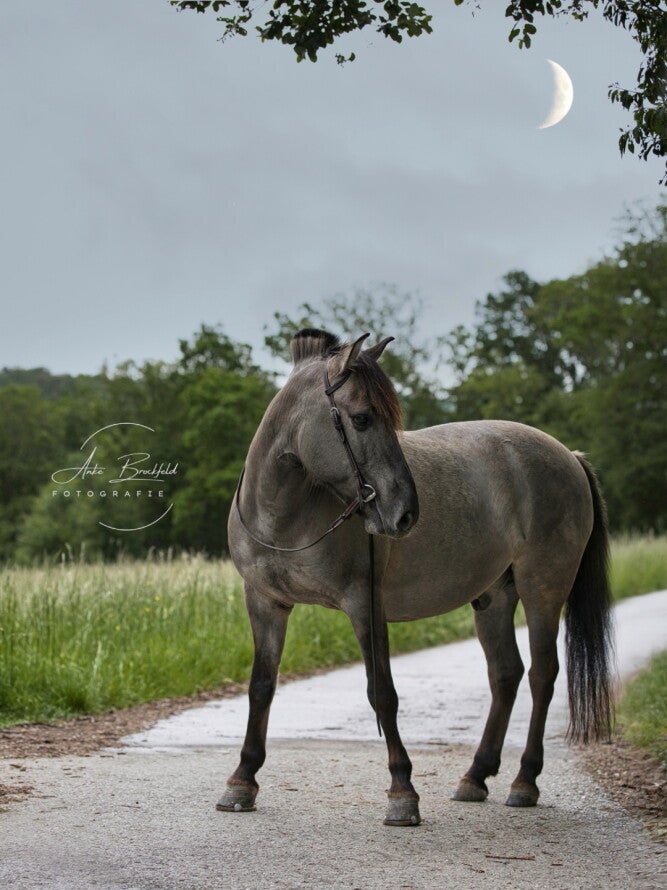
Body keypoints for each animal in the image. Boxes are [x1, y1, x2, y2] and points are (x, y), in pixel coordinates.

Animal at [217, 328, 614, 826]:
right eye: (362, 419)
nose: (406, 513)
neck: (286, 515)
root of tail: (569, 455)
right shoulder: (265, 603)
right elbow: (261, 688)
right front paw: (241, 781)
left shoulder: (364, 605)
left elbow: (382, 693)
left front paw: (402, 792)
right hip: (494, 597)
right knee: (506, 674)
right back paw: (476, 777)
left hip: (542, 589)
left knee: (543, 674)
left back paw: (524, 781)